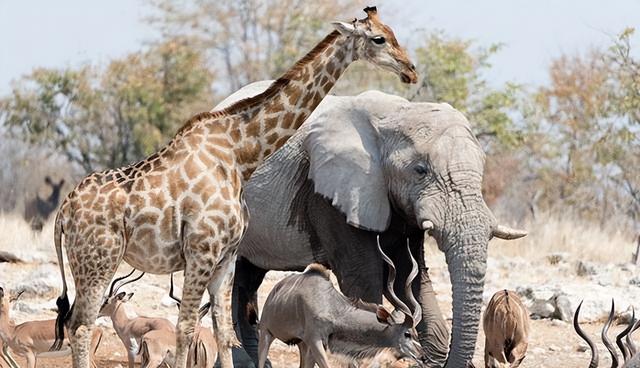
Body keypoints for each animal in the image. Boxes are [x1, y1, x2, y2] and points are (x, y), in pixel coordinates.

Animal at [255, 239, 424, 368]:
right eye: (407, 334)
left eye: (416, 333)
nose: (422, 356)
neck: (332, 307)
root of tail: (273, 294)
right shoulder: (315, 340)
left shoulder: (314, 344)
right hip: (266, 334)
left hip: (301, 344)